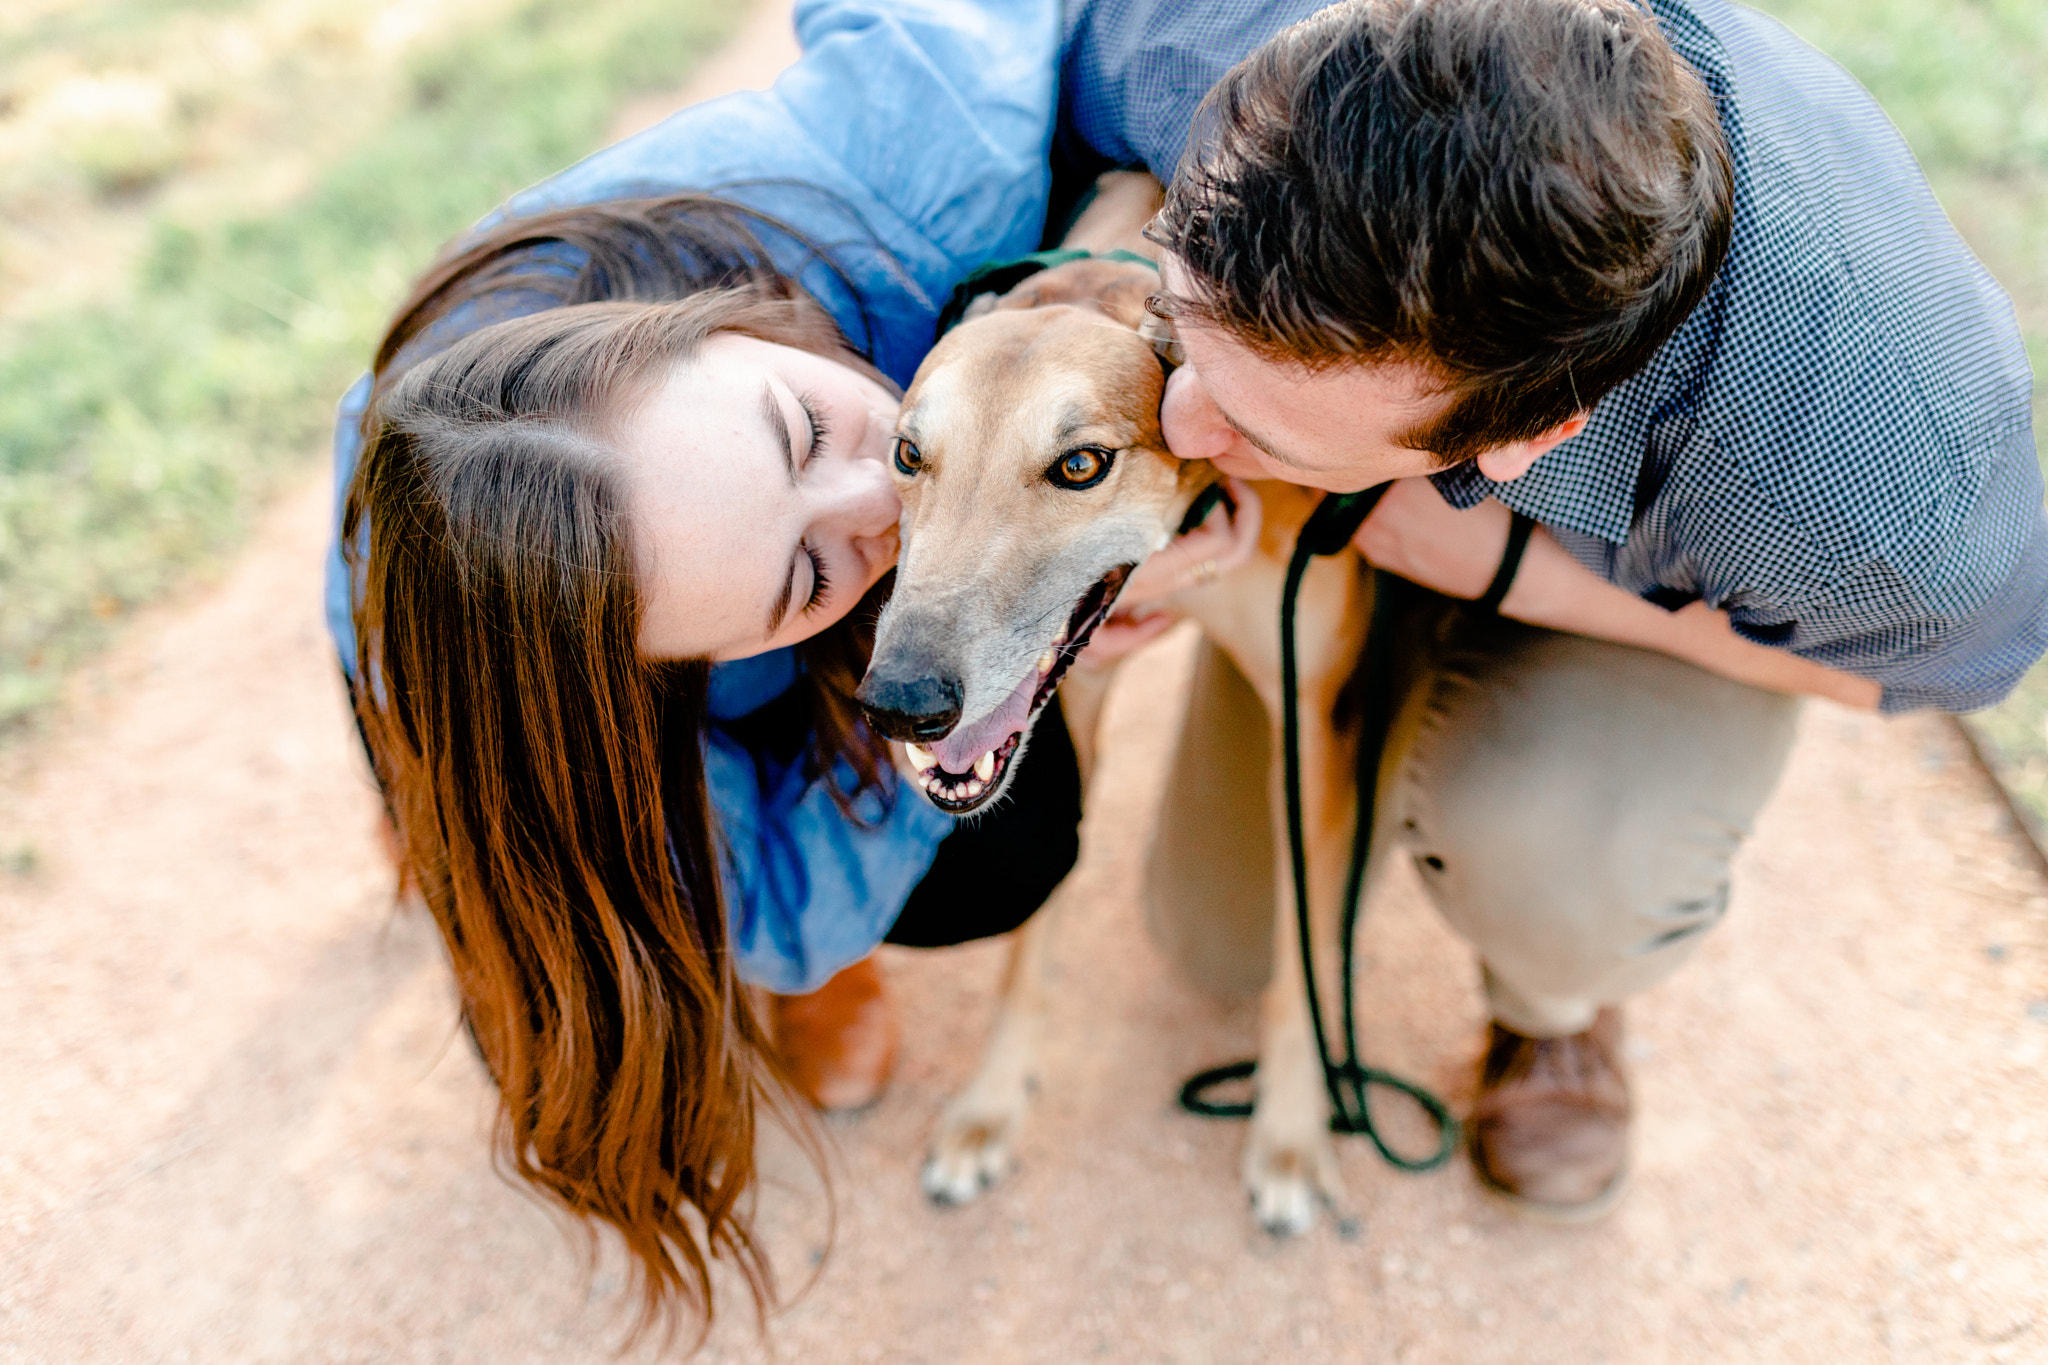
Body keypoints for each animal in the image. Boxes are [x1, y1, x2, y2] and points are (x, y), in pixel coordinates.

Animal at [851, 173, 1376, 1236]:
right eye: (908, 453)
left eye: (1082, 464)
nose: (902, 703)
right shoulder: (1073, 698)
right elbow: (1036, 915)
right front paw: (990, 1103)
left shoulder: (1310, 721)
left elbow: (1298, 956)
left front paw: (1291, 1135)